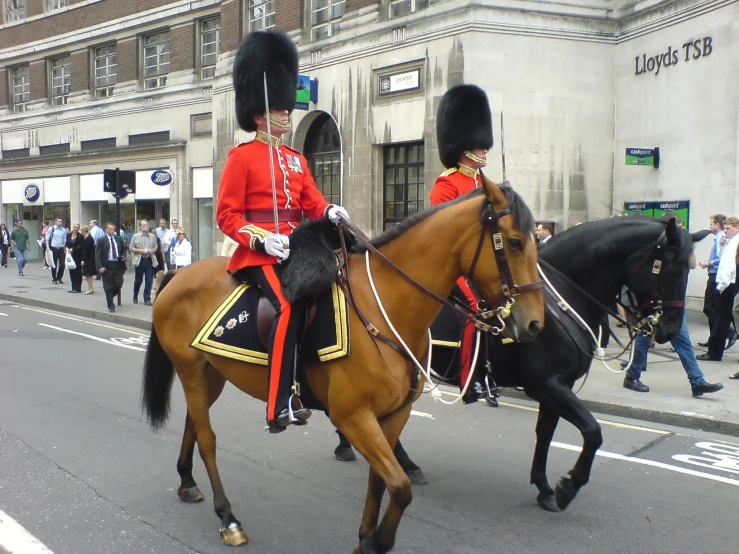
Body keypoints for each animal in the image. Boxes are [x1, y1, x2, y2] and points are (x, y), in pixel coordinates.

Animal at [142, 178, 548, 552]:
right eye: (514, 242)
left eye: (535, 241)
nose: (534, 324)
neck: (386, 306)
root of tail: (179, 274)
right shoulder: (353, 416)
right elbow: (400, 486)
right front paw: (378, 541)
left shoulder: (392, 415)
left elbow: (382, 480)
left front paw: (366, 536)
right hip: (191, 370)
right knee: (208, 439)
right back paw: (228, 517)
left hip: (212, 374)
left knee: (194, 425)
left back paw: (187, 483)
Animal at [334, 216, 704, 508]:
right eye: (672, 269)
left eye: (690, 268)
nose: (670, 330)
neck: (557, 300)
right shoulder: (547, 384)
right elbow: (593, 431)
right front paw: (568, 486)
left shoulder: (557, 386)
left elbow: (546, 433)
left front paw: (544, 487)